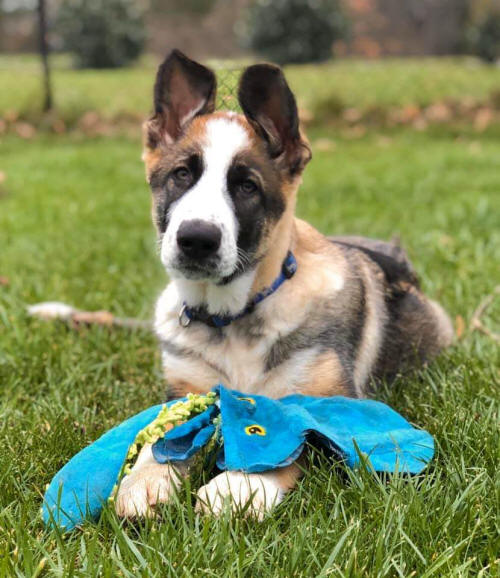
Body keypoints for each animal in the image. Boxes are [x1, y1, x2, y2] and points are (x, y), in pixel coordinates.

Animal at [113, 50, 454, 516]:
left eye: (247, 186)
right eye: (181, 175)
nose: (196, 239)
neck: (233, 317)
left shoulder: (336, 401)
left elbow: (302, 438)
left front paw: (239, 487)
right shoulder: (184, 390)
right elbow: (161, 435)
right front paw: (145, 480)